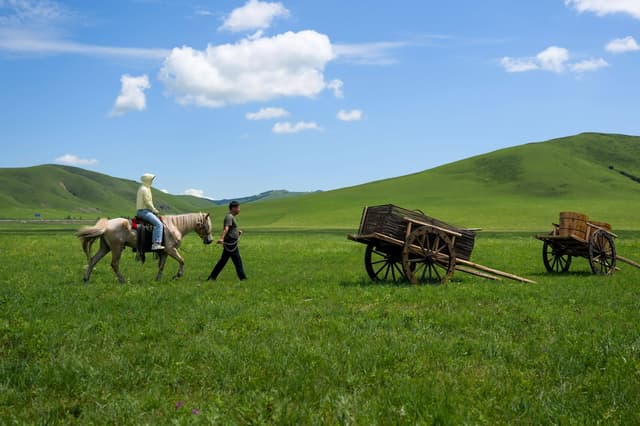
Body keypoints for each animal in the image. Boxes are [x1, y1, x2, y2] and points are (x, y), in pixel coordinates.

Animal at [76, 212, 212, 282]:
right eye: (207, 225)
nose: (210, 240)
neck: (174, 226)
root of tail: (106, 224)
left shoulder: (164, 252)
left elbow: (162, 266)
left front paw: (158, 279)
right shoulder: (171, 249)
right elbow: (182, 260)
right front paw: (178, 275)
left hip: (105, 248)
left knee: (93, 260)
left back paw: (86, 278)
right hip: (116, 248)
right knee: (114, 264)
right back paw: (123, 280)